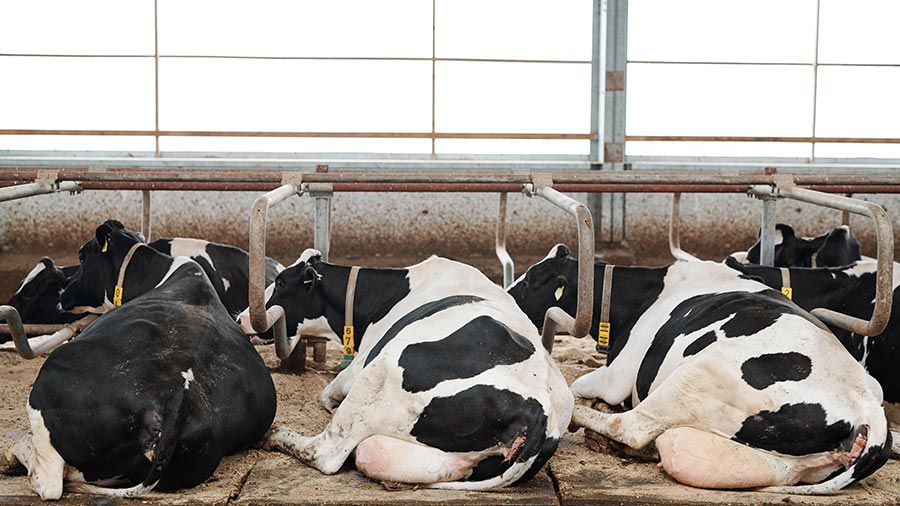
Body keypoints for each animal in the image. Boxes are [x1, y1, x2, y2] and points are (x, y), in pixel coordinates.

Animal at [2, 220, 278, 498]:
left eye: (82, 256)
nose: (63, 293)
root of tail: (176, 396)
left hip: (50, 379)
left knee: (50, 483)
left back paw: (17, 453)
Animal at [237, 249, 576, 490]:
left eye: (281, 283)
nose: (241, 318)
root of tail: (537, 414)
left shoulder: (356, 369)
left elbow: (328, 394)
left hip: (381, 373)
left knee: (327, 451)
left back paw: (276, 434)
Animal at [510, 245, 888, 494]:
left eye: (530, 280)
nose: (506, 293)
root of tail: (869, 411)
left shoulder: (617, 374)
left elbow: (578, 388)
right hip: (788, 463)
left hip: (698, 374)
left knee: (632, 427)